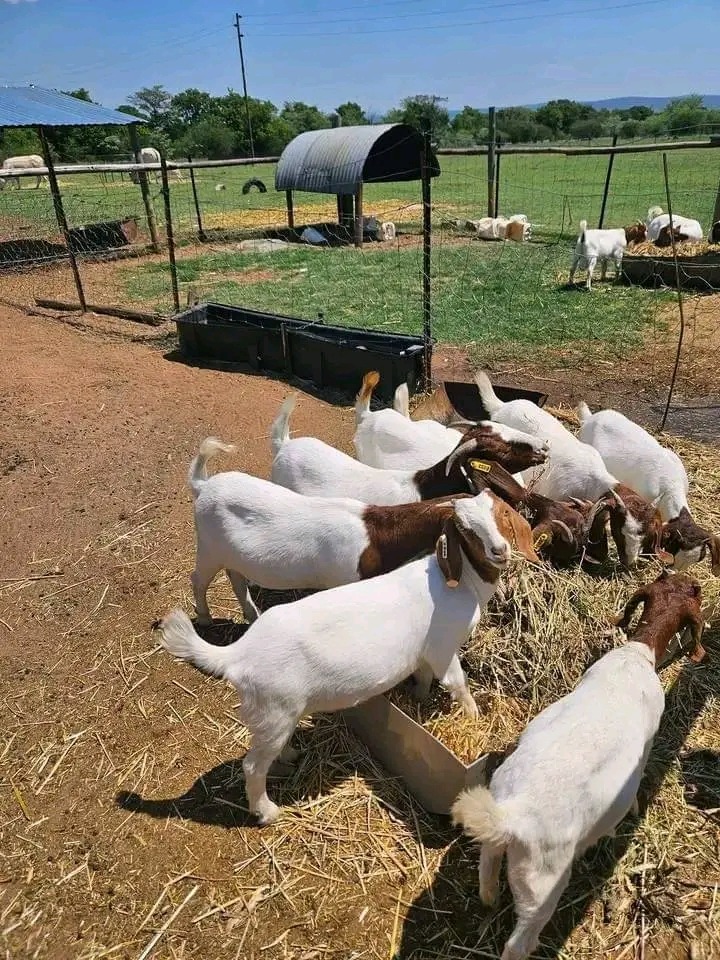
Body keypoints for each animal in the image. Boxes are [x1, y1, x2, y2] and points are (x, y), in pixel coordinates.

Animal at [158, 490, 540, 825]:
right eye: (465, 529)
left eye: (502, 513)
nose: (499, 550)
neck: (463, 582)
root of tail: (239, 652)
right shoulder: (445, 649)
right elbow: (458, 685)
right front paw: (475, 719)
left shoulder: (425, 653)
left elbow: (423, 677)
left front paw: (418, 700)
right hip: (275, 707)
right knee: (252, 766)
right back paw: (266, 812)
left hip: (275, 715)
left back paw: (290, 756)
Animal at [188, 436, 472, 624]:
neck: (376, 535)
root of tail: (203, 486)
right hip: (208, 549)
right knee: (198, 579)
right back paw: (205, 619)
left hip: (229, 554)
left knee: (236, 578)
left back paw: (251, 615)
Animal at [451, 569, 706, 960]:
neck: (636, 655)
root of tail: (512, 815)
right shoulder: (648, 740)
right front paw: (632, 811)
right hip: (543, 884)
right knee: (520, 940)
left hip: (495, 841)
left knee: (487, 874)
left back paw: (489, 901)